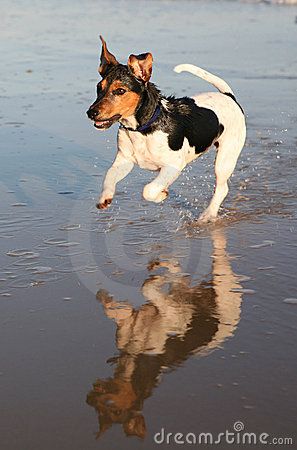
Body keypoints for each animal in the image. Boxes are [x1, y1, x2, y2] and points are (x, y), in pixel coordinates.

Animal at [86, 37, 245, 221]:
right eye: (99, 87)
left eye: (120, 90)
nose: (91, 113)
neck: (142, 129)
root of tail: (228, 97)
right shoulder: (124, 160)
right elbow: (109, 176)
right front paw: (105, 198)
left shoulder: (173, 165)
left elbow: (148, 190)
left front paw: (162, 194)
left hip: (225, 158)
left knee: (222, 188)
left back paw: (208, 214)